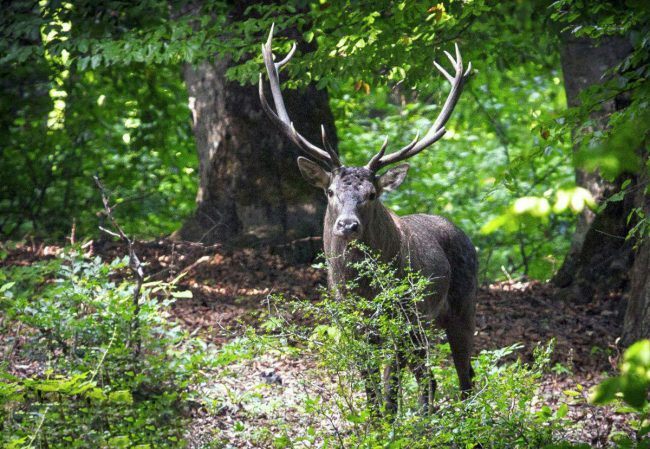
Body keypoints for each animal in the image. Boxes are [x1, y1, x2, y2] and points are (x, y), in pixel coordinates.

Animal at [258, 27, 476, 412]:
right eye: (330, 192)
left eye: (372, 194)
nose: (347, 225)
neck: (362, 288)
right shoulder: (351, 320)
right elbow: (370, 383)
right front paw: (376, 421)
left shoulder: (400, 314)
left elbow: (389, 386)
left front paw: (389, 421)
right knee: (430, 377)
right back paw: (427, 416)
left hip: (460, 306)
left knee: (464, 376)